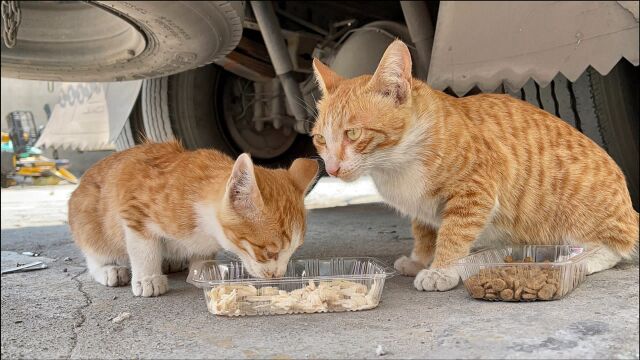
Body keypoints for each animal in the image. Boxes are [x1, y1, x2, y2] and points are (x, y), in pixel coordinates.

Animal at [68, 142, 318, 296]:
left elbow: (202, 254)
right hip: (88, 220)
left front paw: (204, 270)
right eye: (268, 252)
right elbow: (143, 248)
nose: (279, 275)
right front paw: (148, 278)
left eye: (294, 251)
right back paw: (109, 270)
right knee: (95, 252)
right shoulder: (134, 209)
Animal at [310, 40, 636, 292]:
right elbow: (425, 231)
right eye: (320, 139)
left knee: (615, 247)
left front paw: (441, 269)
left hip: (583, 220)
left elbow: (453, 233)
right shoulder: (422, 207)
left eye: (353, 133)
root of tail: (630, 209)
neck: (396, 163)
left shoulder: (475, 192)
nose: (332, 169)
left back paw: (578, 260)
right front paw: (419, 259)